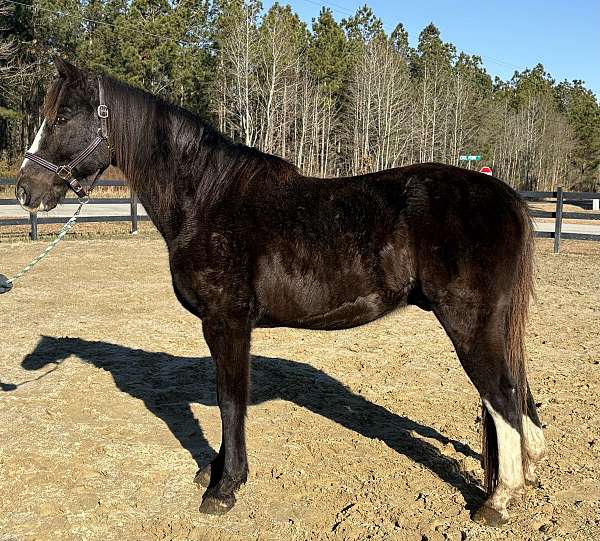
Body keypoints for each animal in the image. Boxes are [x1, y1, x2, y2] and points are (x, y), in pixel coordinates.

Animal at [16, 60, 548, 528]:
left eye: (62, 117)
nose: (24, 190)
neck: (205, 196)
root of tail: (505, 196)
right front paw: (213, 471)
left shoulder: (226, 321)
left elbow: (230, 399)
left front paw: (225, 487)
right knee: (517, 396)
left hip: (470, 324)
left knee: (502, 397)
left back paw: (498, 503)